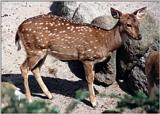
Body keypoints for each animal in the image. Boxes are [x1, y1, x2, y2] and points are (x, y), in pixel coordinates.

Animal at [15, 7, 146, 107]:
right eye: (128, 24)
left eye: (138, 23)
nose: (139, 36)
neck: (106, 42)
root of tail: (19, 29)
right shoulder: (87, 57)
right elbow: (89, 78)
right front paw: (93, 102)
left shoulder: (94, 61)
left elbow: (92, 77)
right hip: (34, 50)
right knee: (24, 68)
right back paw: (29, 99)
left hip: (42, 52)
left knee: (35, 69)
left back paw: (49, 95)